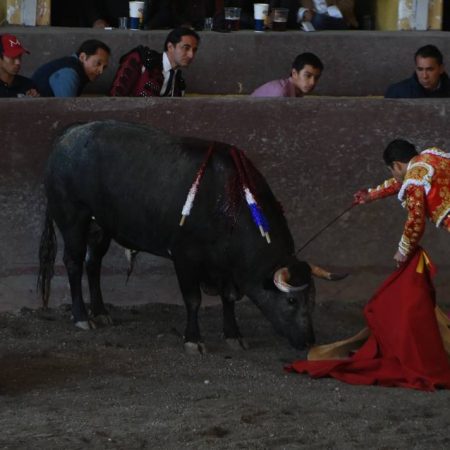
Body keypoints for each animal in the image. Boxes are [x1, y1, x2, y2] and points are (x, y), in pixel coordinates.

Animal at [39, 121, 344, 354]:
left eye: (312, 299)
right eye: (292, 301)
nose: (308, 341)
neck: (228, 203)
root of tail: (67, 136)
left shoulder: (225, 267)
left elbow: (228, 298)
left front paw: (233, 334)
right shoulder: (185, 258)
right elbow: (193, 299)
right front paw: (194, 340)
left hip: (101, 227)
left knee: (93, 264)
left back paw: (101, 312)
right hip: (73, 219)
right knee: (74, 263)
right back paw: (82, 317)